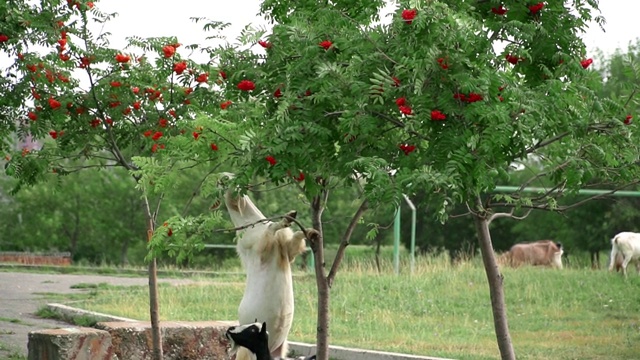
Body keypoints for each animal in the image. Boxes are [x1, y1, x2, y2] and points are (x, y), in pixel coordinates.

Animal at [221, 173, 318, 358]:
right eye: (226, 181)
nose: (223, 176)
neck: (252, 223)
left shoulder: (287, 252)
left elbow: (296, 237)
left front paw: (311, 232)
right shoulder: (261, 251)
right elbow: (272, 228)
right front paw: (285, 219)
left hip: (281, 350)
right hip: (246, 352)